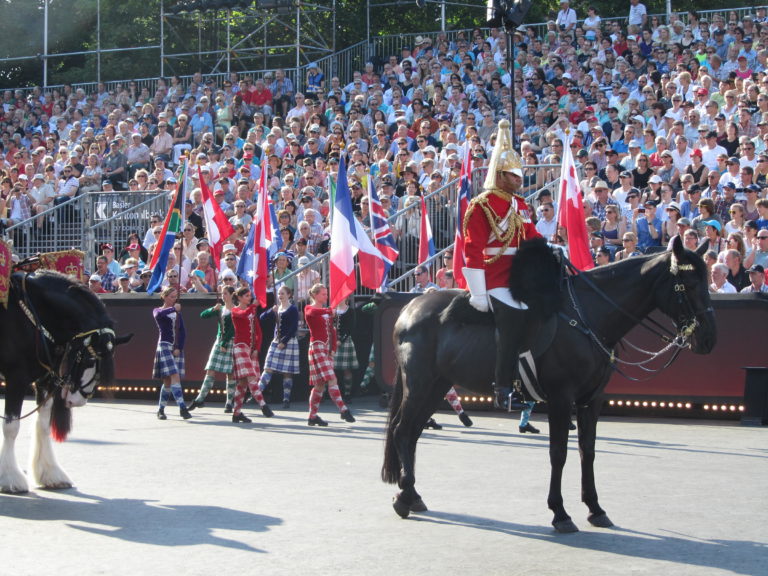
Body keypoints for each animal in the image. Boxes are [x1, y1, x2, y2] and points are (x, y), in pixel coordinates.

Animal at [0, 272, 130, 492]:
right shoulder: (16, 379)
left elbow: (43, 424)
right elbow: (11, 427)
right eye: (89, 359)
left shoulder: (45, 380)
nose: (78, 400)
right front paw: (10, 478)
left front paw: (50, 473)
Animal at [380, 237, 716, 532]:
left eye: (708, 280)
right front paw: (560, 512)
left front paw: (595, 508)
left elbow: (587, 450)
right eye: (689, 284)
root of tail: (411, 307)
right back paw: (405, 497)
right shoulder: (560, 399)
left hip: (436, 386)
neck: (588, 318)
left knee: (412, 433)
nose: (708, 339)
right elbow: (559, 453)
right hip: (421, 385)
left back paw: (412, 495)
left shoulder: (592, 400)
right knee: (402, 430)